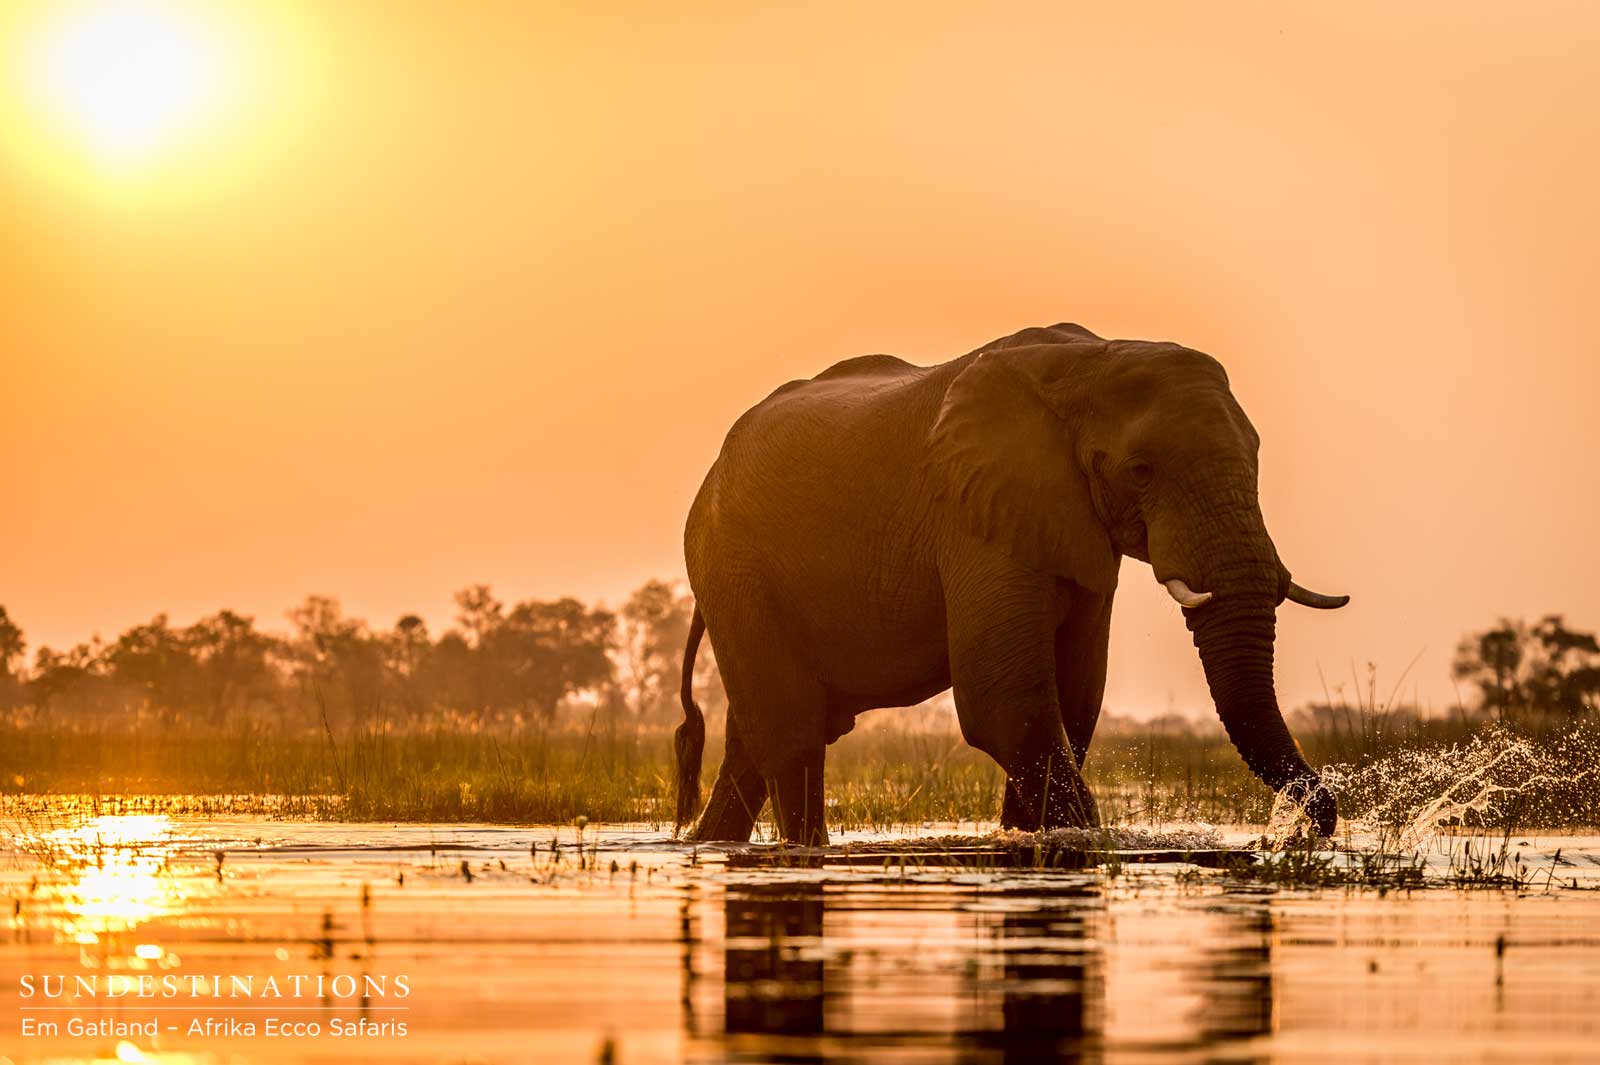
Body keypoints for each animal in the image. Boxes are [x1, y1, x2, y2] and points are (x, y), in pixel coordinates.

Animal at [673, 323, 1347, 845]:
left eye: (1257, 457)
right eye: (1141, 470)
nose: (1306, 827)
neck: (1095, 359)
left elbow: (1073, 700)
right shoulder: (975, 516)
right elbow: (1007, 702)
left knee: (753, 740)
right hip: (733, 564)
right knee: (792, 733)